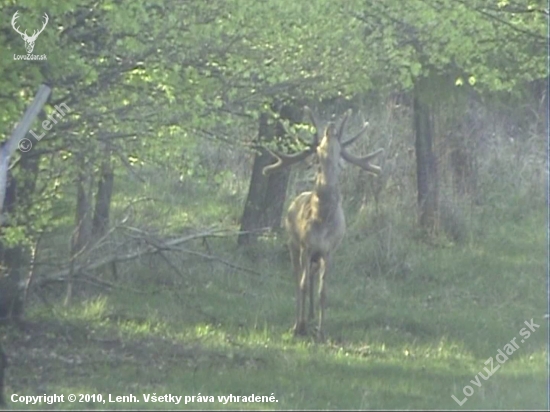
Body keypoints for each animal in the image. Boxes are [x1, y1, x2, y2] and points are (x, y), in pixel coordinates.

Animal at [262, 105, 384, 338]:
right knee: (298, 279)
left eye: (338, 155)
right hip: (292, 245)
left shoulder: (328, 250)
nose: (330, 128)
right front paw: (299, 326)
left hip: (315, 257)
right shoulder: (305, 246)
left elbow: (323, 291)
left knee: (311, 277)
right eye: (318, 153)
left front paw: (321, 330)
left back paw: (310, 316)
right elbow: (301, 285)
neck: (323, 219)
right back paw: (301, 319)